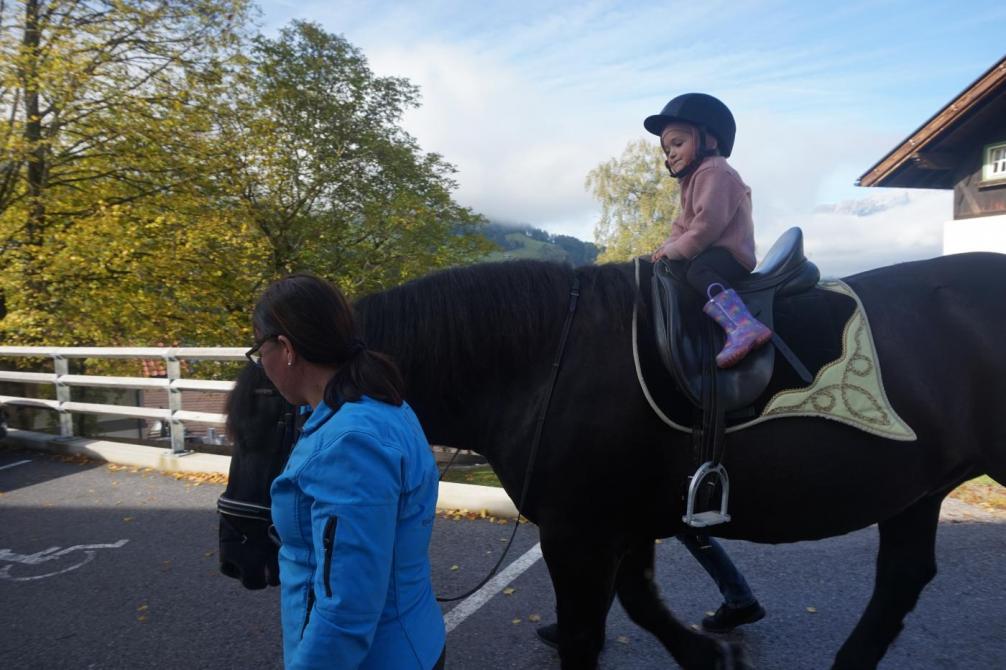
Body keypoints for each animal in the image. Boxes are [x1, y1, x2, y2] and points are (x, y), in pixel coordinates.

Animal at [218, 251, 1006, 667]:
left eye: (270, 422)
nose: (235, 556)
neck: (542, 361)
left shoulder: (581, 533)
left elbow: (587, 631)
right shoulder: (625, 522)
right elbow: (641, 601)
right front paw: (709, 654)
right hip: (915, 488)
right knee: (900, 581)